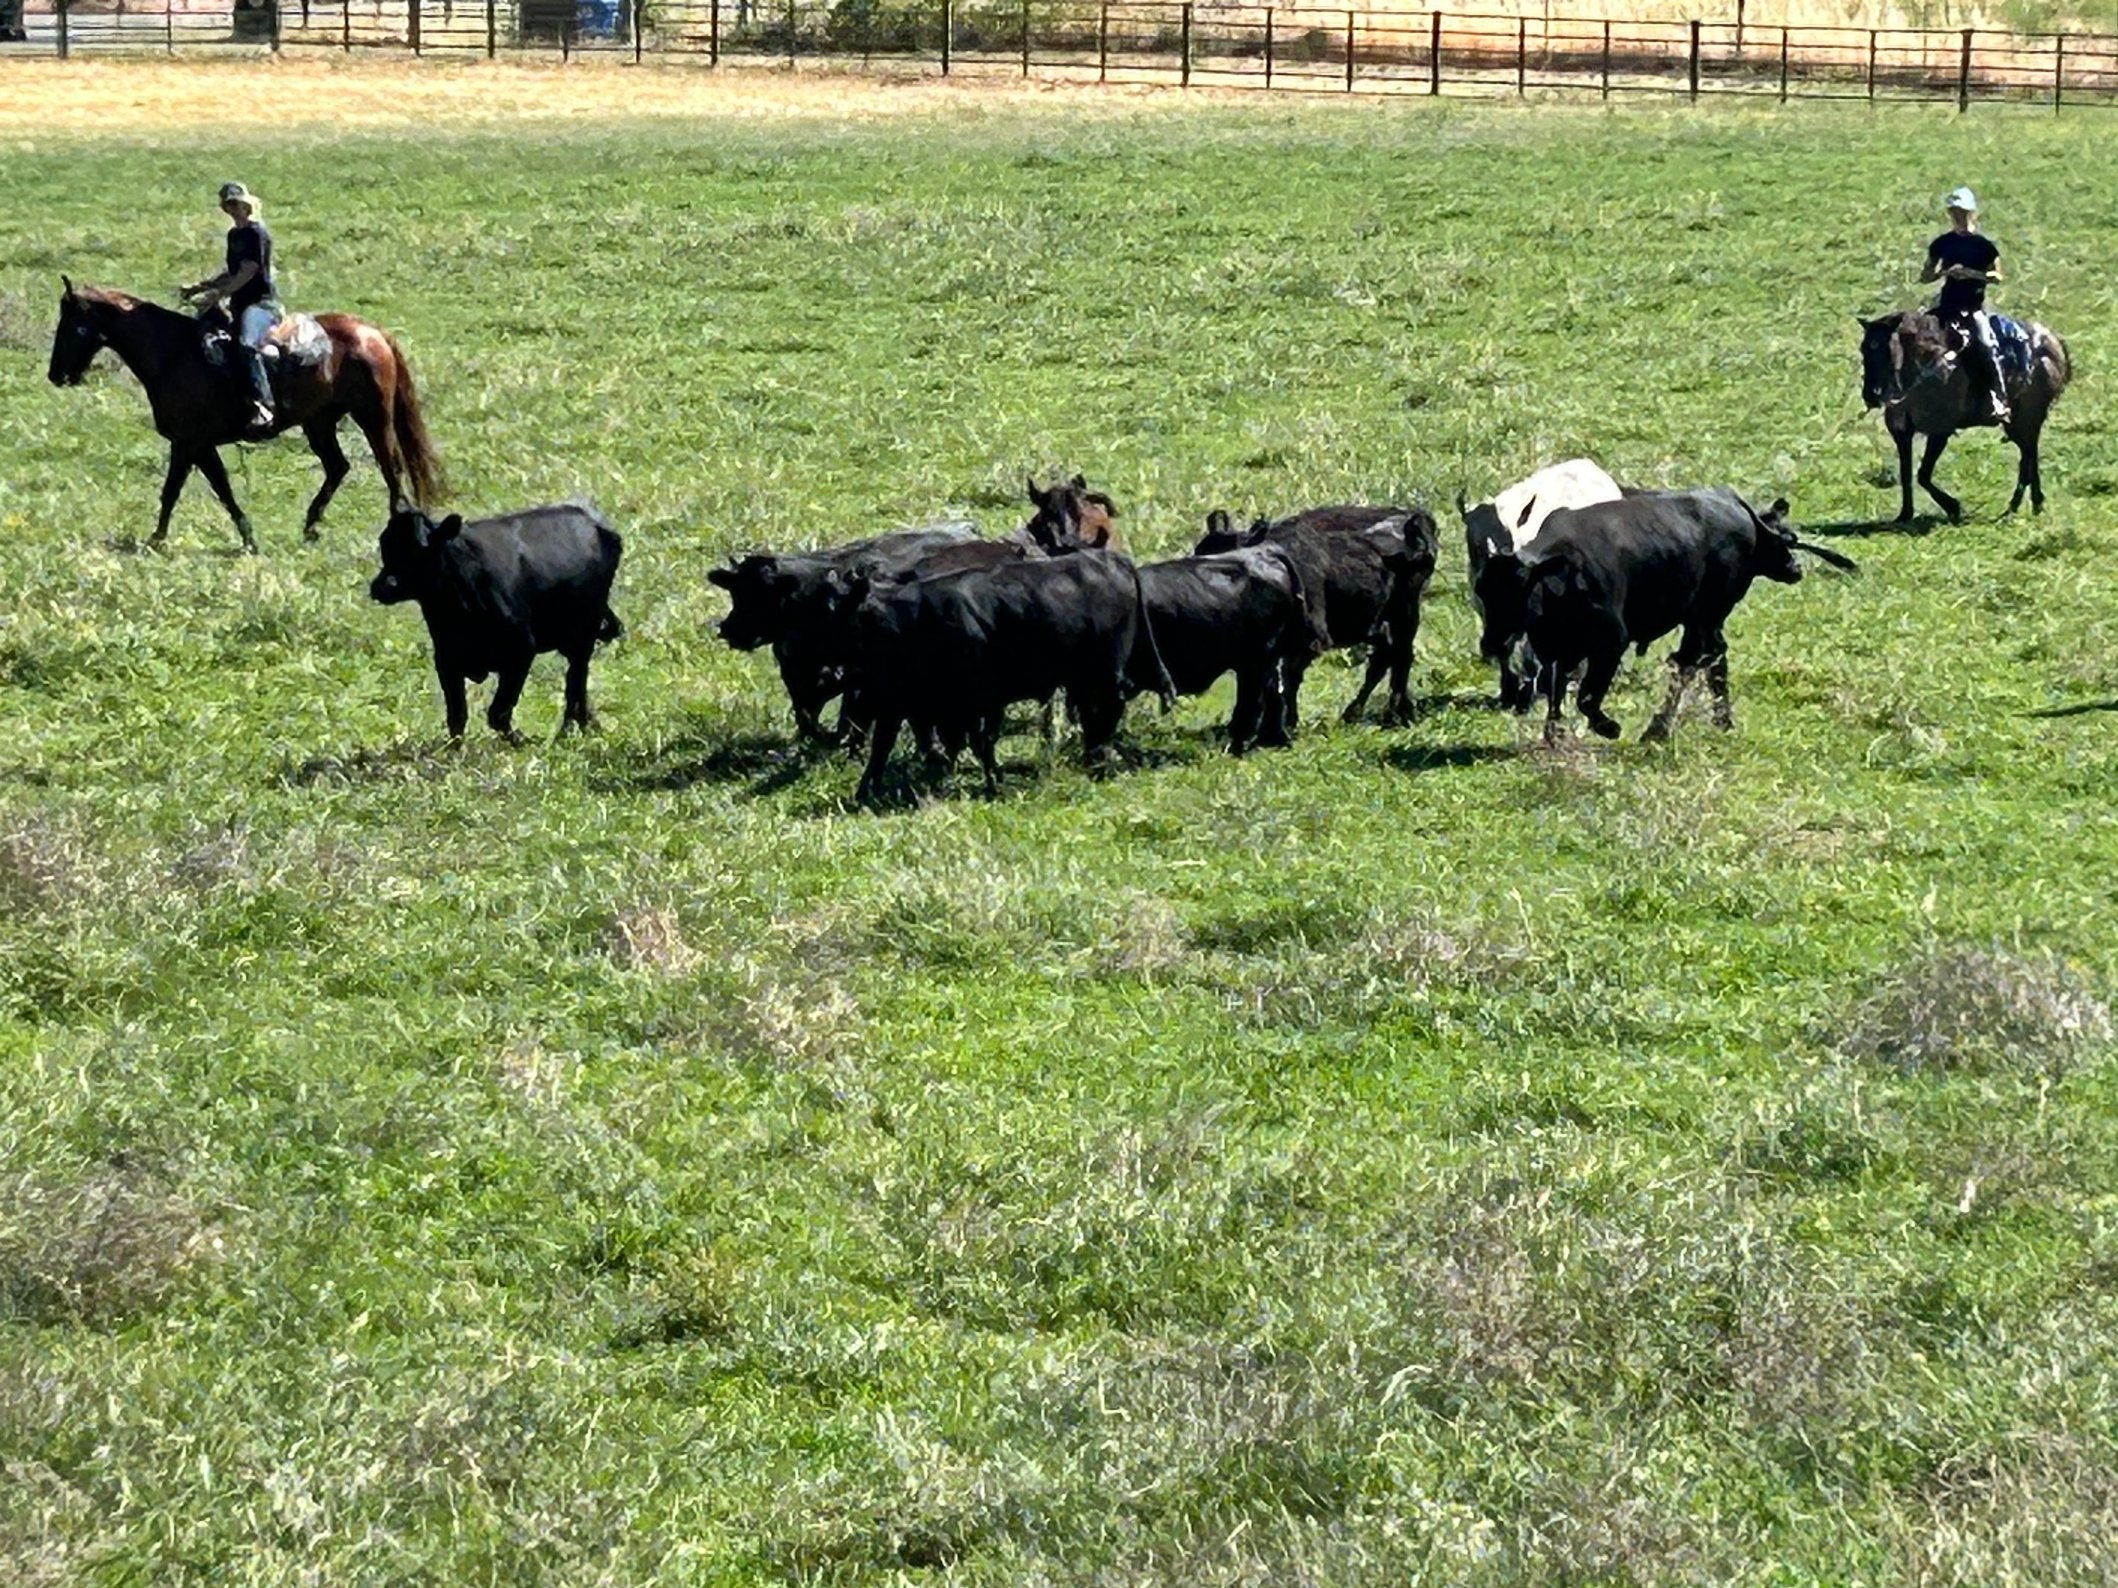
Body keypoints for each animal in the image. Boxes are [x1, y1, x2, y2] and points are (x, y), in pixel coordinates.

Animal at [368, 501, 623, 742]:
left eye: (422, 549)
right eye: (384, 544)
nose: (382, 586)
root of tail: (591, 521)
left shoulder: (521, 651)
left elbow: (498, 713)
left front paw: (522, 741)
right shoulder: (446, 659)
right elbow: (457, 717)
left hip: (584, 634)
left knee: (575, 684)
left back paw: (567, 731)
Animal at [832, 552, 1173, 802]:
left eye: (836, 607)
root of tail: (1112, 559)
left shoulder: (971, 702)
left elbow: (974, 741)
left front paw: (985, 783)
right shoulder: (899, 701)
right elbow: (884, 746)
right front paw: (866, 793)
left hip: (1104, 675)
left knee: (1104, 714)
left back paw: (1099, 765)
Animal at [1130, 546, 1333, 753]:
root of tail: (1264, 552)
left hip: (1259, 659)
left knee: (1263, 697)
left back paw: (1251, 742)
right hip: (1256, 661)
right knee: (1272, 692)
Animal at [1194, 504, 1439, 727]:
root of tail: (1416, 517)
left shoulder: (1310, 638)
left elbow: (1288, 677)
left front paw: (1288, 723)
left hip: (1406, 611)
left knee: (1401, 655)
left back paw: (1395, 714)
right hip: (1375, 623)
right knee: (1385, 657)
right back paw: (1361, 713)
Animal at [1514, 490, 1855, 744]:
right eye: (1785, 538)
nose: (1795, 567)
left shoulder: (1613, 642)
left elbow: (1583, 694)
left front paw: (1607, 729)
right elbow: (1559, 686)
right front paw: (1555, 734)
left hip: (1703, 616)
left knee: (1698, 659)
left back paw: (1665, 728)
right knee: (1706, 658)